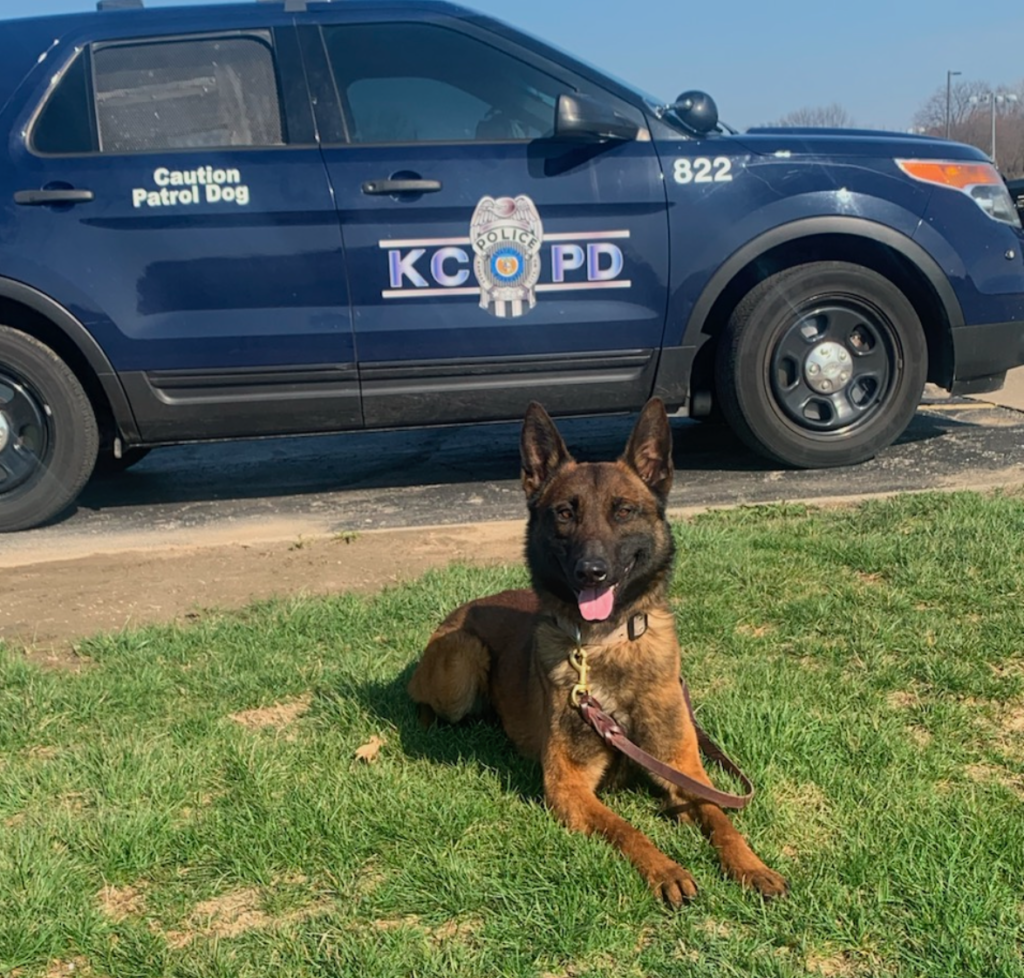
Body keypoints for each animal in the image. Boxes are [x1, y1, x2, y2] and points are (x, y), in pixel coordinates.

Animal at [405, 401, 782, 905]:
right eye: (566, 513)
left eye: (623, 511)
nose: (592, 572)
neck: (607, 644)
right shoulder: (568, 786)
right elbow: (626, 829)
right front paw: (666, 870)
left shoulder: (682, 770)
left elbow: (721, 819)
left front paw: (751, 866)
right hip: (461, 667)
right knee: (422, 697)